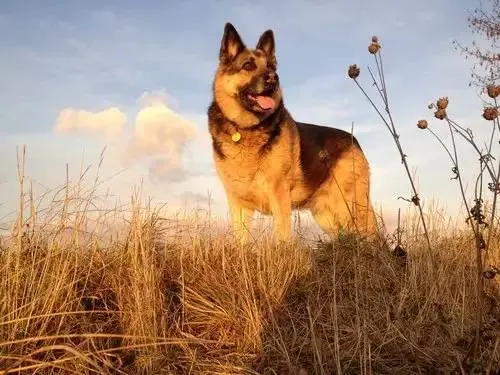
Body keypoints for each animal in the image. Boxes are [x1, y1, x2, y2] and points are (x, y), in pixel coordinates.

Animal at [207, 22, 376, 244]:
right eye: (248, 66)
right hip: (328, 216)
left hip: (352, 208)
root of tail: (354, 140)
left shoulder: (279, 197)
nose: (273, 78)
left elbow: (283, 238)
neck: (245, 129)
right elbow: (241, 241)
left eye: (271, 68)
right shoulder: (238, 204)